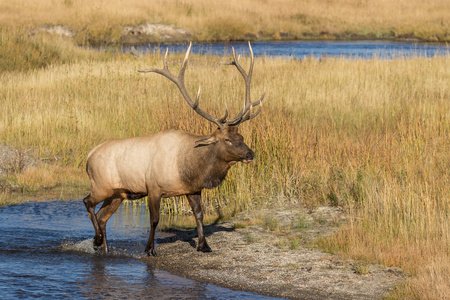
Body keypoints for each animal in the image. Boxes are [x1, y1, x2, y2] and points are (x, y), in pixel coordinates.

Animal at [83, 42, 266, 256]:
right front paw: (150, 249)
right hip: (101, 185)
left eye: (241, 137)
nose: (250, 153)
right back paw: (96, 240)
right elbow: (154, 220)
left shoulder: (193, 189)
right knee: (87, 202)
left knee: (102, 216)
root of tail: (89, 155)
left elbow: (199, 215)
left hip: (117, 193)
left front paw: (204, 245)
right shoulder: (153, 188)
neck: (189, 167)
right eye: (227, 139)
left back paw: (103, 247)